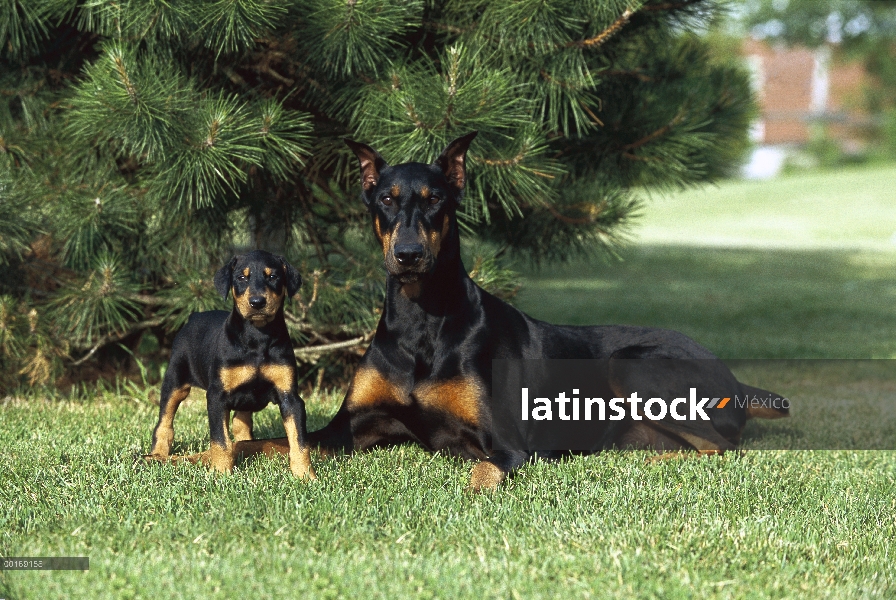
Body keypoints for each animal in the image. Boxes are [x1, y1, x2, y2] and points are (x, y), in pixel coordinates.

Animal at [144, 251, 316, 480]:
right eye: (241, 278)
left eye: (273, 277)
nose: (257, 302)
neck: (257, 336)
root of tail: (194, 316)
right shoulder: (217, 396)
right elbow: (220, 440)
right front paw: (220, 472)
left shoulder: (290, 397)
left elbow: (299, 441)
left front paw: (305, 475)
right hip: (175, 379)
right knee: (164, 421)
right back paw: (158, 454)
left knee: (241, 426)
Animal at [231, 134, 784, 490]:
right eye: (386, 199)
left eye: (435, 200)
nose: (408, 255)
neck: (419, 319)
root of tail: (734, 379)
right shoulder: (350, 427)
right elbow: (266, 444)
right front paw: (216, 456)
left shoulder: (505, 441)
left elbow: (481, 474)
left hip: (631, 362)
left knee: (721, 447)